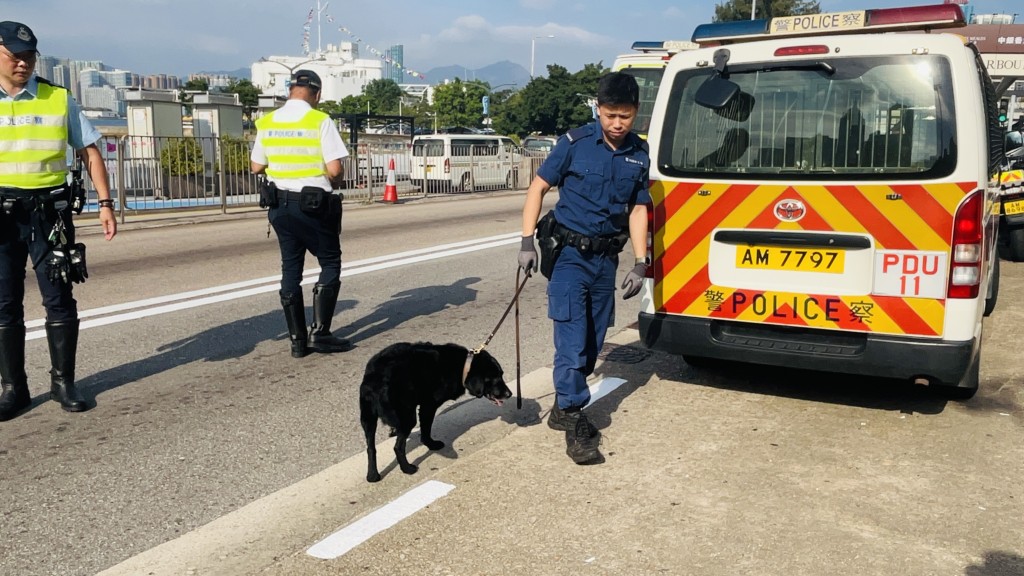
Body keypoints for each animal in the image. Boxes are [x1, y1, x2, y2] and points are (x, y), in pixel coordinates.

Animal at [358, 340, 512, 479]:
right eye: (493, 378)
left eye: (501, 374)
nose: (509, 394)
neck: (462, 366)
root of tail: (375, 378)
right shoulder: (429, 406)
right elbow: (426, 429)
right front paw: (431, 444)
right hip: (407, 418)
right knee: (398, 447)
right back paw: (407, 469)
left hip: (368, 419)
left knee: (371, 448)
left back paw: (372, 475)